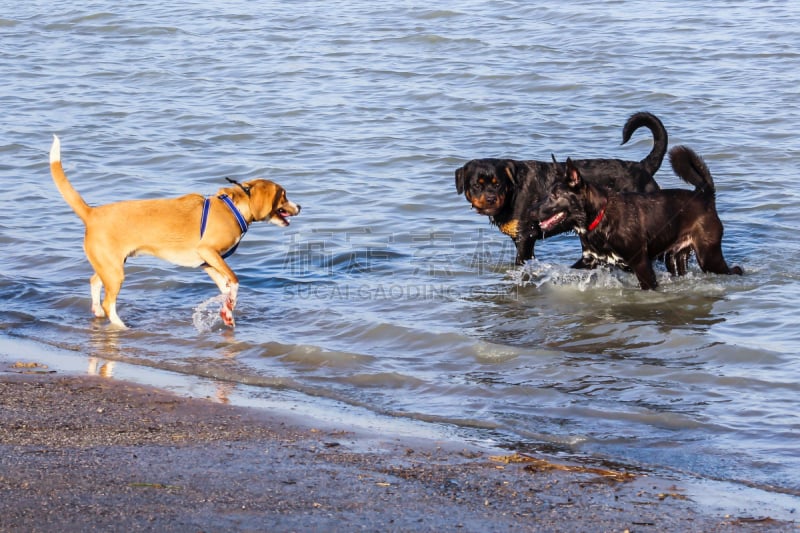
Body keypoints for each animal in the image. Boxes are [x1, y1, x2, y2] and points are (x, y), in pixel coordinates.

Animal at [50, 135, 300, 326]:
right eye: (284, 195)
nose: (299, 207)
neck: (233, 207)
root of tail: (91, 213)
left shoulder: (208, 262)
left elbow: (225, 287)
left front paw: (227, 310)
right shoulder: (208, 252)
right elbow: (234, 281)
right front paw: (229, 306)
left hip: (109, 266)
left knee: (94, 282)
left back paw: (97, 312)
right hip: (115, 271)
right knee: (108, 302)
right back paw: (120, 326)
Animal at [454, 111, 664, 264]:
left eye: (498, 184)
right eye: (476, 185)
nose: (491, 198)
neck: (513, 193)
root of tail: (643, 167)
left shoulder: (525, 237)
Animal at [536, 145, 740, 288]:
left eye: (555, 196)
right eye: (547, 193)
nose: (532, 211)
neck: (600, 217)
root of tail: (705, 196)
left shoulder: (641, 264)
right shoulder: (589, 260)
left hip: (708, 257)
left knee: (736, 270)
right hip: (675, 257)